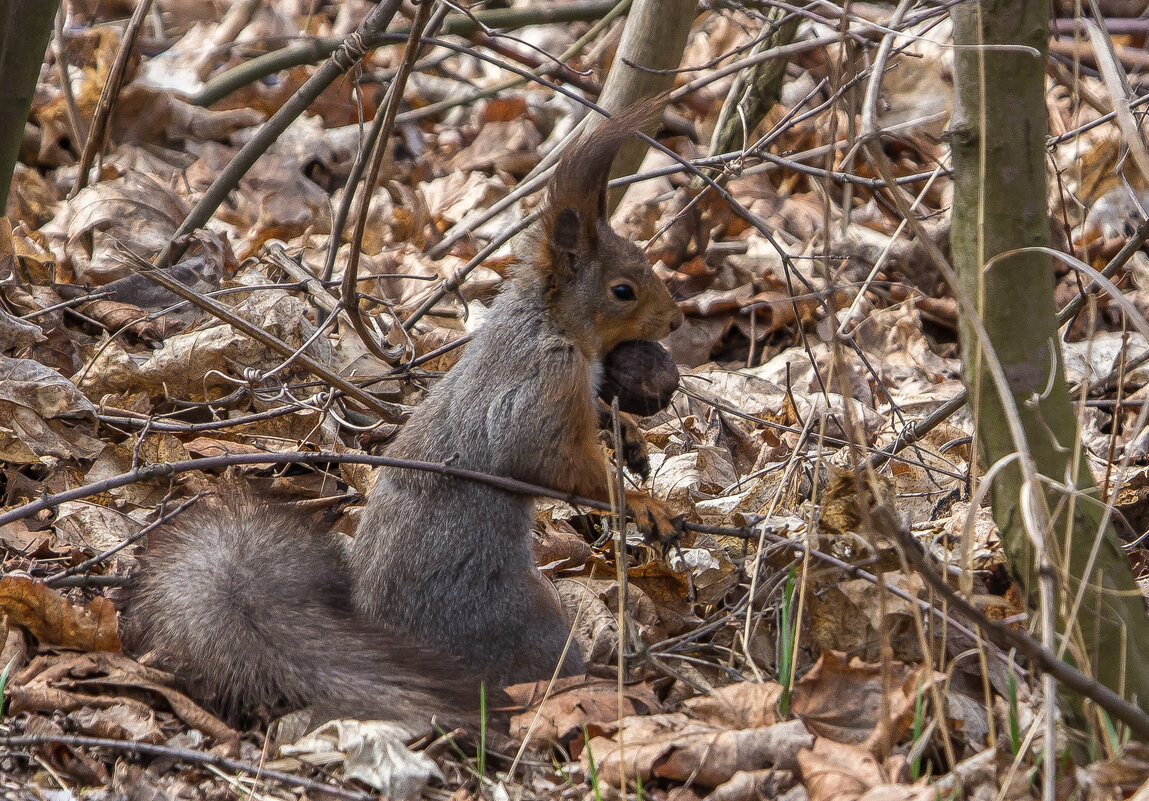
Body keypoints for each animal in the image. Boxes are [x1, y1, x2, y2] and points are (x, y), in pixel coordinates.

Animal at [128, 102, 680, 735]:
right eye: (623, 290)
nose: (675, 321)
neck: (550, 324)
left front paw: (629, 437)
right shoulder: (537, 386)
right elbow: (550, 460)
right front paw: (641, 501)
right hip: (515, 624)